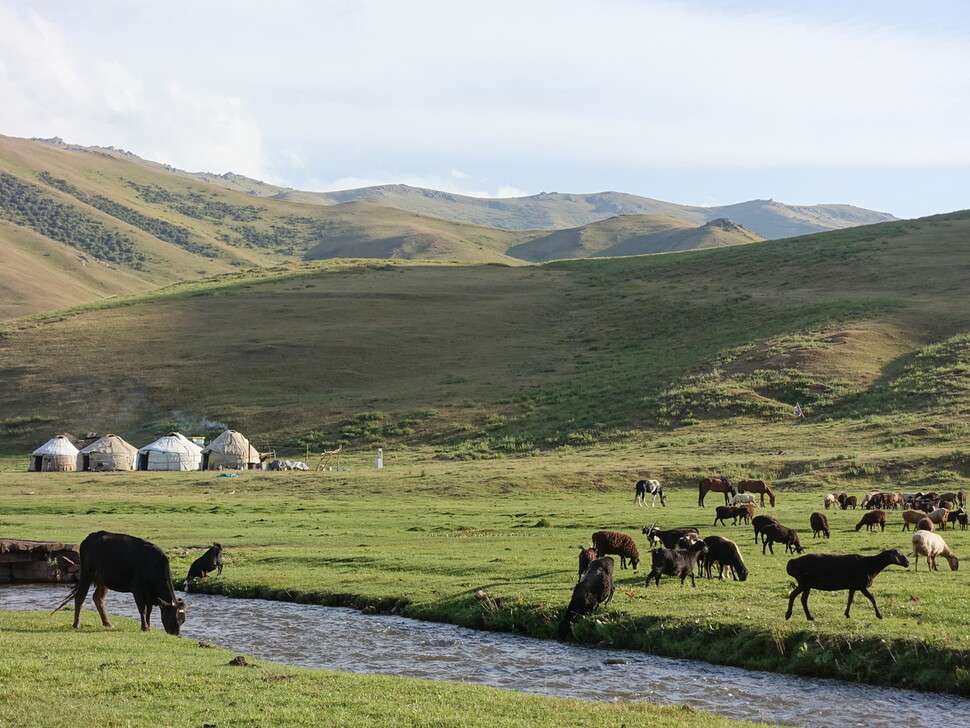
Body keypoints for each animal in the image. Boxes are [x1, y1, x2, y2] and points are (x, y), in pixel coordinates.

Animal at [54, 528, 185, 636]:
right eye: (173, 617)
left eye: (183, 621)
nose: (176, 634)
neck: (153, 564)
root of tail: (91, 536)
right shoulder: (137, 589)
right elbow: (142, 608)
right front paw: (144, 627)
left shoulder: (150, 594)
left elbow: (149, 610)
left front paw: (148, 626)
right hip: (87, 572)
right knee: (80, 596)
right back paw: (76, 625)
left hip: (103, 578)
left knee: (98, 598)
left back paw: (107, 623)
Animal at [784, 552, 912, 620]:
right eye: (899, 554)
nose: (908, 563)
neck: (872, 565)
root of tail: (791, 563)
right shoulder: (862, 586)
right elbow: (872, 599)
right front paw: (879, 615)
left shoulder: (853, 586)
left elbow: (850, 600)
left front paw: (847, 614)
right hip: (805, 583)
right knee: (801, 599)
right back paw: (807, 616)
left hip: (804, 584)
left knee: (794, 596)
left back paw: (790, 615)